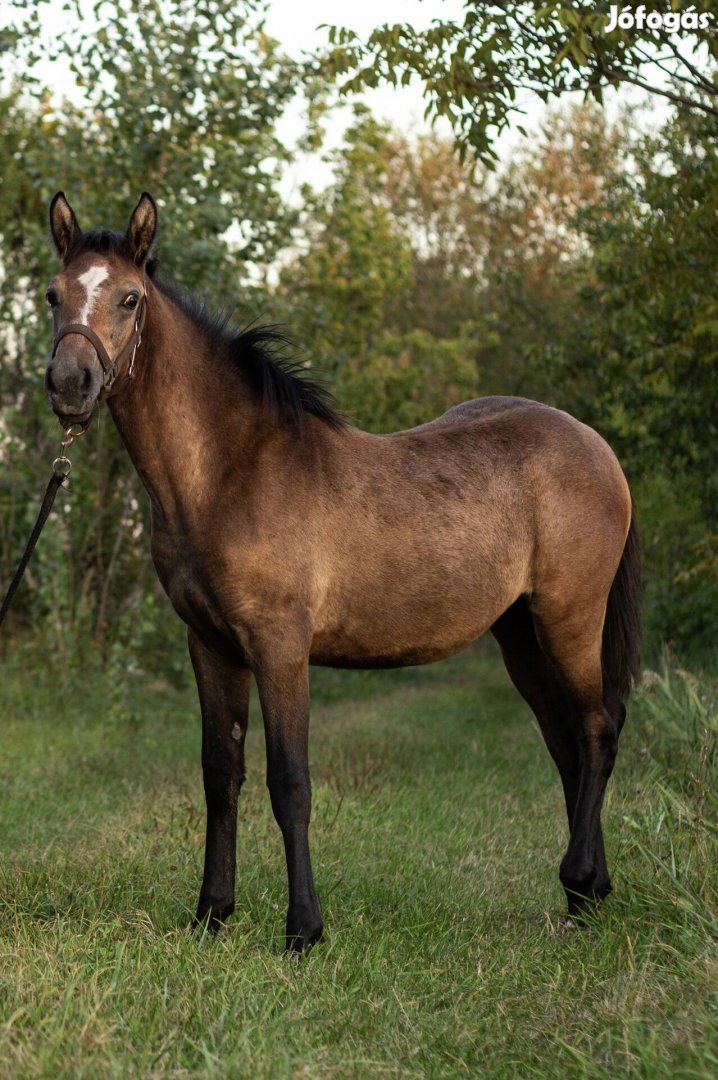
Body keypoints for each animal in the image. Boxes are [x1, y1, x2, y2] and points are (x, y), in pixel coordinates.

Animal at [42, 194, 639, 954]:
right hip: (519, 635)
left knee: (598, 728)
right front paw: (212, 914)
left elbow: (289, 782)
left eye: (128, 297)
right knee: (566, 743)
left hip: (569, 616)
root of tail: (595, 446)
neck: (229, 471)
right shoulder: (210, 646)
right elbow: (220, 776)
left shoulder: (279, 646)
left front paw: (303, 930)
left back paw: (582, 879)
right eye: (54, 294)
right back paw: (584, 897)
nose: (70, 384)